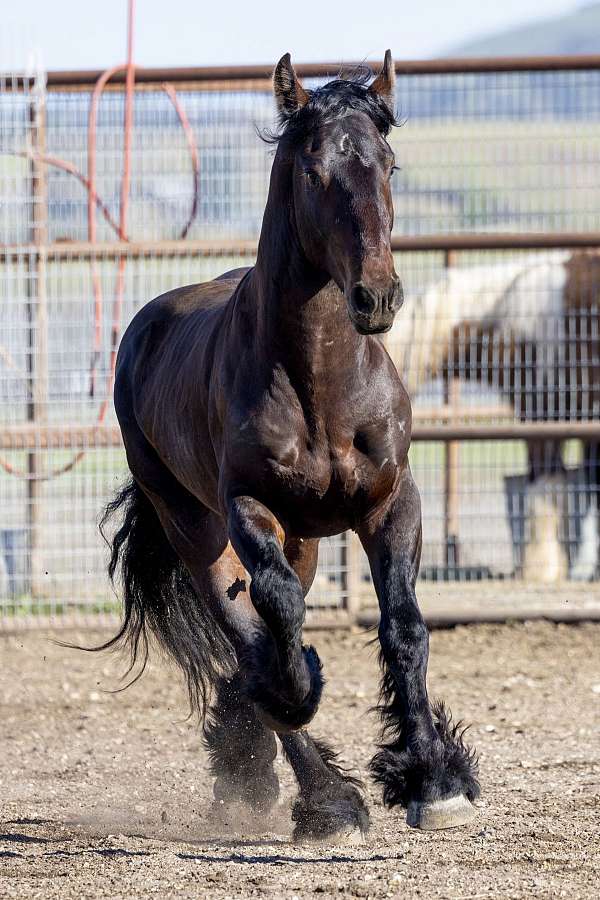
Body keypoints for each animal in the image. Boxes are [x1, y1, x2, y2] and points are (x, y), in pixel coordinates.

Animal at [98, 52, 478, 840]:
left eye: (388, 164)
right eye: (312, 171)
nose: (376, 296)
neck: (322, 385)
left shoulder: (391, 504)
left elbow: (405, 628)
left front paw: (435, 780)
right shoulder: (248, 508)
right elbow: (275, 620)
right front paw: (304, 706)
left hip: (302, 539)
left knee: (270, 620)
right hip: (197, 531)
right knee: (249, 630)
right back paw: (322, 795)